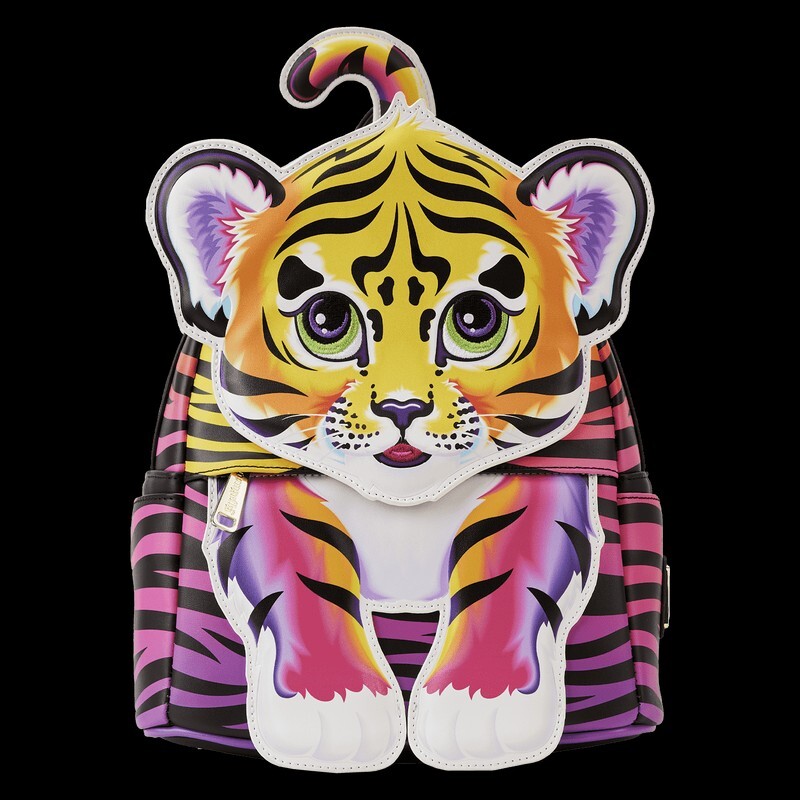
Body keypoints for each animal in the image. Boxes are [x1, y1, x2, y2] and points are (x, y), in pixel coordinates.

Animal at [147, 27, 652, 772]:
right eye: (328, 321)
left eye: (474, 320)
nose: (404, 409)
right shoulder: (256, 485)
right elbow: (303, 576)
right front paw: (331, 713)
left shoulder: (555, 476)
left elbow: (506, 572)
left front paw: (482, 709)